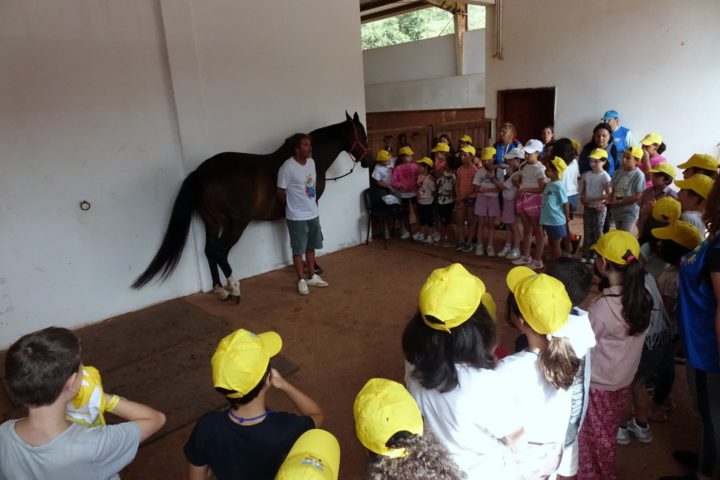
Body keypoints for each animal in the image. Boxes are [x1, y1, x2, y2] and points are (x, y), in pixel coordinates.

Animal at [131, 112, 370, 302]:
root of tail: (201, 173)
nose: (368, 162)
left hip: (211, 223)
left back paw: (219, 289)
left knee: (209, 251)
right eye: (363, 134)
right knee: (220, 252)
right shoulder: (309, 207)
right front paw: (312, 268)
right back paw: (234, 288)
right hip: (235, 224)